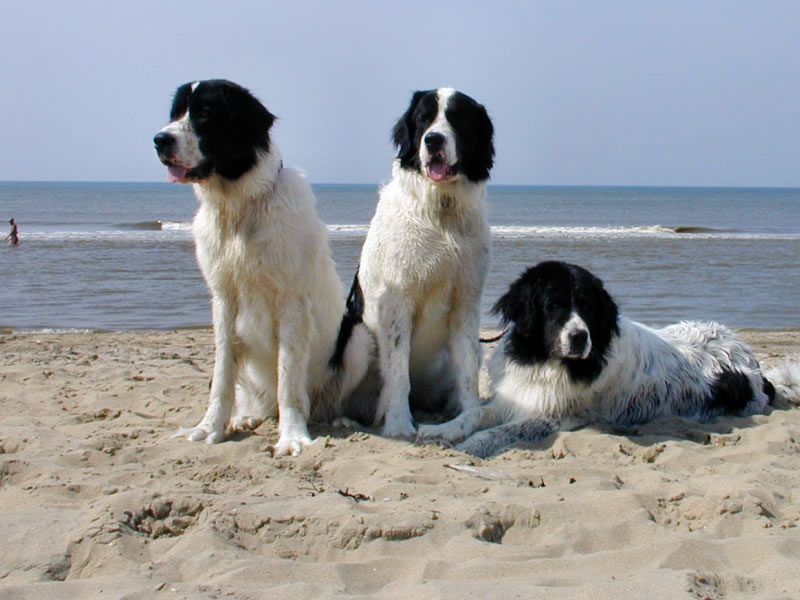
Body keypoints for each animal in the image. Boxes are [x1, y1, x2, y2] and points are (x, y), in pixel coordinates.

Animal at [153, 79, 372, 454]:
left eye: (205, 114)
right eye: (176, 113)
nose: (159, 140)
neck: (240, 207)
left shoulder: (291, 302)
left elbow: (288, 377)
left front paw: (292, 436)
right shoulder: (223, 299)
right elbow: (222, 376)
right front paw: (210, 428)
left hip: (358, 339)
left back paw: (340, 420)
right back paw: (246, 417)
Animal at [422, 260, 796, 458]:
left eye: (588, 307)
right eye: (553, 305)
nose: (579, 337)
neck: (544, 361)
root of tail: (755, 366)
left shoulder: (553, 416)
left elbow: (498, 432)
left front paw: (471, 446)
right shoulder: (518, 396)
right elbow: (474, 414)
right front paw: (441, 430)